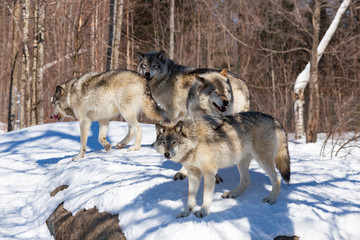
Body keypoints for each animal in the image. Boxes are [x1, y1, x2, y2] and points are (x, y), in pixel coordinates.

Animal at [154, 111, 290, 218]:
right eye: (163, 143)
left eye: (174, 142)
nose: (167, 154)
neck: (194, 141)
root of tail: (274, 119)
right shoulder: (193, 173)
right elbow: (190, 197)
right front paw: (186, 212)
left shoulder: (209, 172)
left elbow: (206, 196)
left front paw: (203, 211)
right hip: (241, 162)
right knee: (246, 180)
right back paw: (232, 194)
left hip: (262, 160)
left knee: (277, 179)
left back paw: (271, 200)